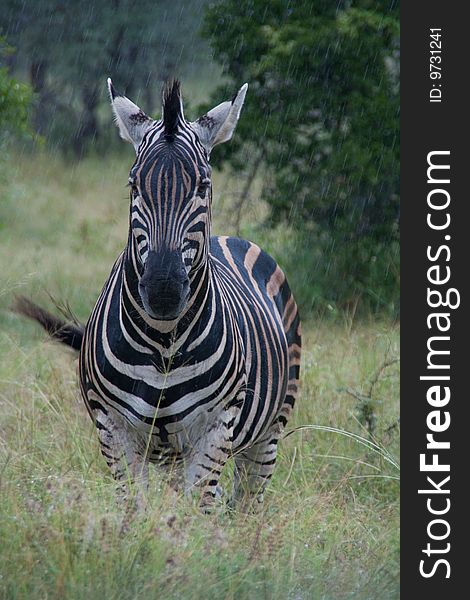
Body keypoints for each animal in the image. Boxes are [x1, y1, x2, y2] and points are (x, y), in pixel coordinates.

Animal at [14, 78, 302, 510]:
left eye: (203, 185)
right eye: (134, 184)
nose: (163, 291)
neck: (164, 341)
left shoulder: (215, 429)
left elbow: (194, 515)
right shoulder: (114, 428)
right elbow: (137, 514)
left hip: (269, 431)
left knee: (247, 503)